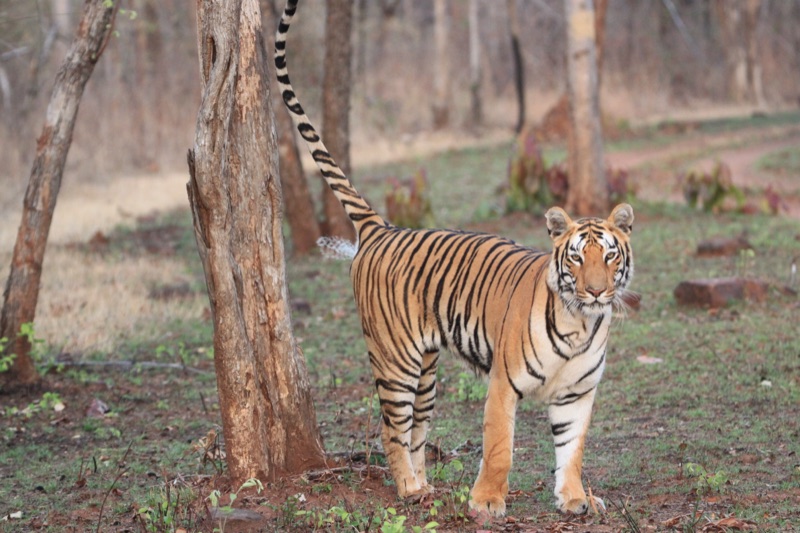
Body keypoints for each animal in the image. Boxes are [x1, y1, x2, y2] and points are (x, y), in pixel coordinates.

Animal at [275, 0, 634, 517]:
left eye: (608, 256)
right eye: (576, 259)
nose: (596, 291)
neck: (579, 325)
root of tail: (382, 229)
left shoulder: (576, 395)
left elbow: (573, 450)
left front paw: (574, 498)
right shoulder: (504, 383)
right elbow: (499, 446)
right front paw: (486, 503)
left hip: (426, 371)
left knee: (416, 429)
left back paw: (426, 488)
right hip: (395, 361)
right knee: (391, 428)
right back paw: (408, 489)